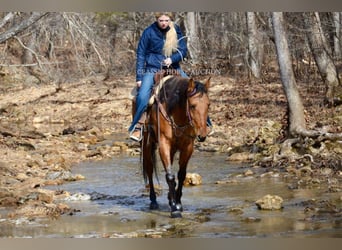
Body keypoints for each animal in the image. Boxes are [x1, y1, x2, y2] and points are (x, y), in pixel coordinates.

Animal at [140, 75, 210, 218]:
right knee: (149, 170)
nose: (202, 135)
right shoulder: (164, 144)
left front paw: (178, 203)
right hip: (147, 144)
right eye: (193, 106)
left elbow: (181, 175)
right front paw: (174, 209)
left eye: (208, 105)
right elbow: (170, 176)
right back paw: (153, 201)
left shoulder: (188, 146)